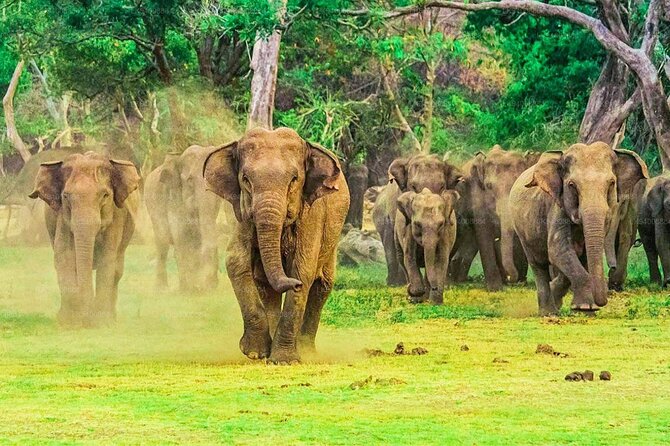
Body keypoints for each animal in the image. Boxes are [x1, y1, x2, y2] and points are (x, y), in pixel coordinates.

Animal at [28, 152, 140, 326]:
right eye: (65, 196)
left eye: (105, 195)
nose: (86, 318)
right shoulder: (62, 216)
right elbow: (64, 255)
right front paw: (69, 323)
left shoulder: (117, 215)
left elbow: (107, 257)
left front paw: (100, 323)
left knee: (117, 270)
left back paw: (112, 318)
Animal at [144, 146, 222, 292]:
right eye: (190, 180)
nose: (211, 285)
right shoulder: (173, 198)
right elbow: (180, 237)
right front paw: (188, 291)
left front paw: (202, 288)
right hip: (152, 206)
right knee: (162, 244)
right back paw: (161, 289)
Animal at [203, 127, 349, 364]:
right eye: (245, 179)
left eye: (294, 179)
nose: (294, 285)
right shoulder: (242, 214)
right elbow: (236, 262)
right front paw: (254, 353)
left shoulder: (312, 213)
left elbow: (303, 269)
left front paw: (285, 361)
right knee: (266, 287)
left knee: (322, 286)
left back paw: (306, 351)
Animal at [509, 142, 648, 315]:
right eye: (571, 185)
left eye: (611, 183)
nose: (603, 301)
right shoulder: (557, 207)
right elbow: (558, 249)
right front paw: (584, 307)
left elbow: (581, 255)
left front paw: (586, 308)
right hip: (523, 230)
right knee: (538, 264)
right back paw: (549, 312)